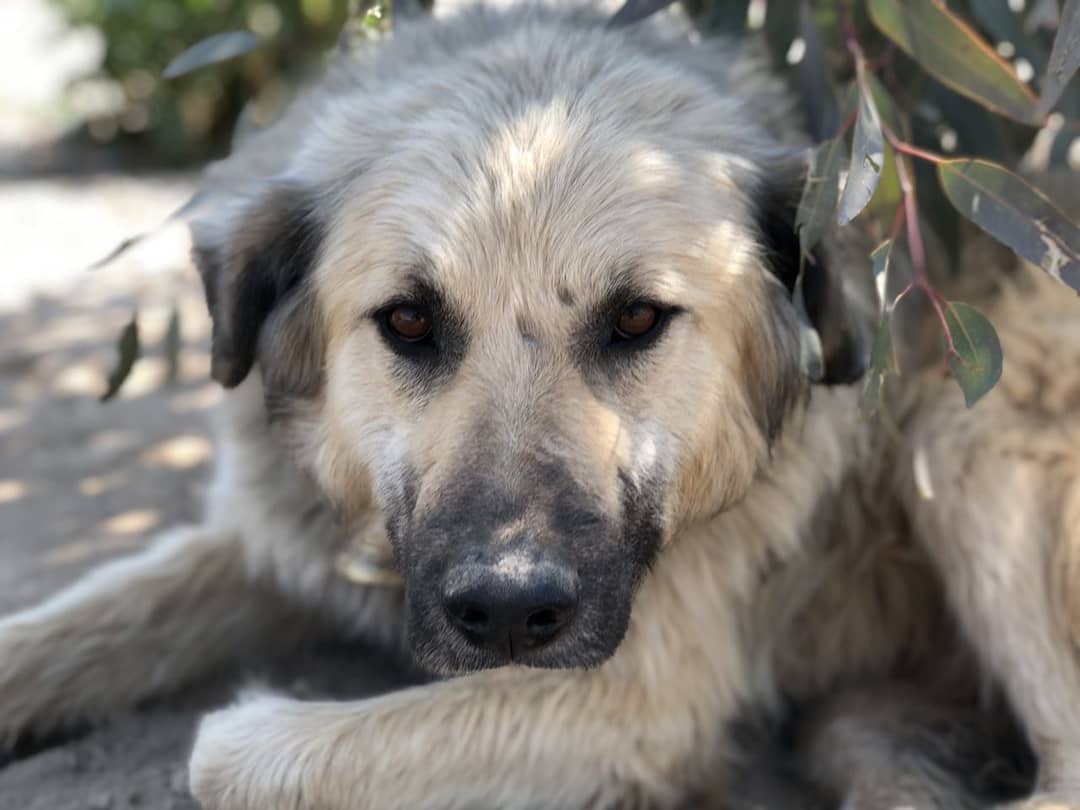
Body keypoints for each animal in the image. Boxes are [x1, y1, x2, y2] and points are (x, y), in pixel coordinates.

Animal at [1, 2, 1078, 808]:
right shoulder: (274, 536)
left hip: (962, 429)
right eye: (407, 320)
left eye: (638, 317)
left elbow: (226, 752)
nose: (511, 613)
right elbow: (59, 629)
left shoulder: (639, 704)